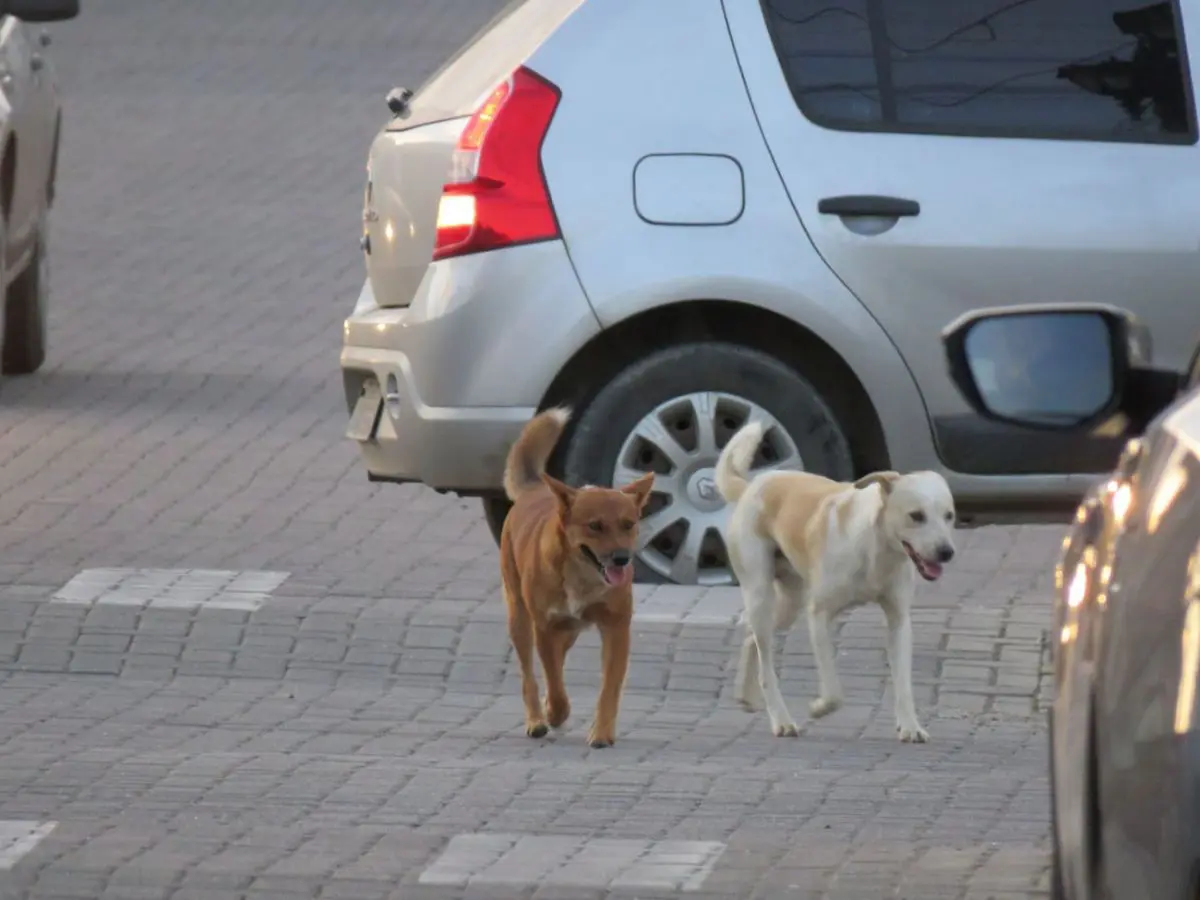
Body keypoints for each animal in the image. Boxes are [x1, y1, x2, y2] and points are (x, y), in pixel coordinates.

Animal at [496, 408, 652, 748]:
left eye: (629, 524)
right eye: (595, 526)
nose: (622, 558)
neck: (583, 577)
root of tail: (535, 488)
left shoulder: (616, 628)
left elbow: (609, 688)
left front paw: (602, 732)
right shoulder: (545, 627)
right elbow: (553, 681)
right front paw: (555, 711)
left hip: (570, 631)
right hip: (520, 619)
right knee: (530, 675)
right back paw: (537, 719)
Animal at [710, 427, 955, 744]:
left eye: (949, 516)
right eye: (916, 516)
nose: (947, 552)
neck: (875, 547)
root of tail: (752, 485)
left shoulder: (899, 620)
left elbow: (903, 683)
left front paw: (910, 726)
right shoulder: (819, 615)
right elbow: (834, 691)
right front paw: (818, 707)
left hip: (788, 605)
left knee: (751, 639)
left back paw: (746, 696)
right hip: (761, 595)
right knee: (766, 665)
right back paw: (781, 720)